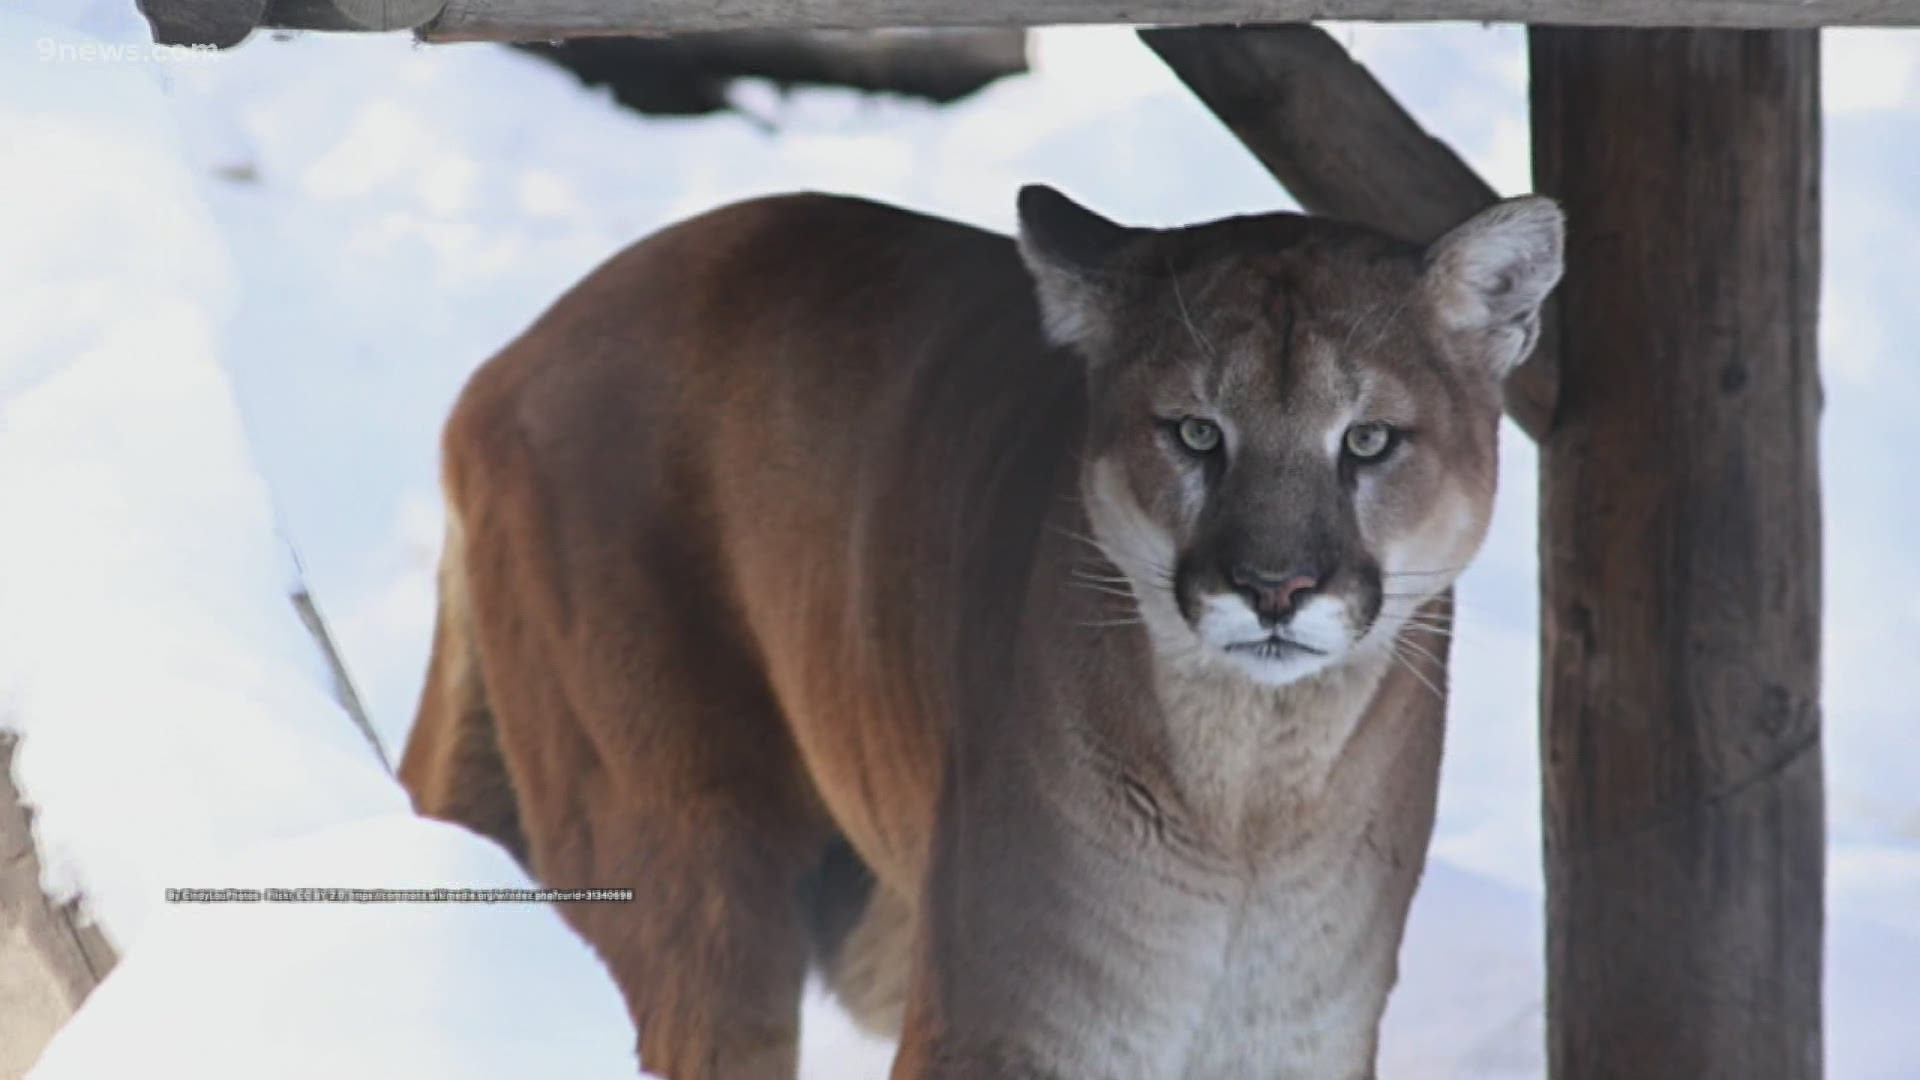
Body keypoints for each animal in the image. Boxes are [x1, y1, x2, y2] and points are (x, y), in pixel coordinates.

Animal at [401, 187, 1559, 1076]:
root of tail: (508, 360)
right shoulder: (1008, 1031)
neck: (1254, 802)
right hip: (686, 871)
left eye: (1367, 441)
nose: (1275, 587)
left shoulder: (1299, 1039)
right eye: (1195, 432)